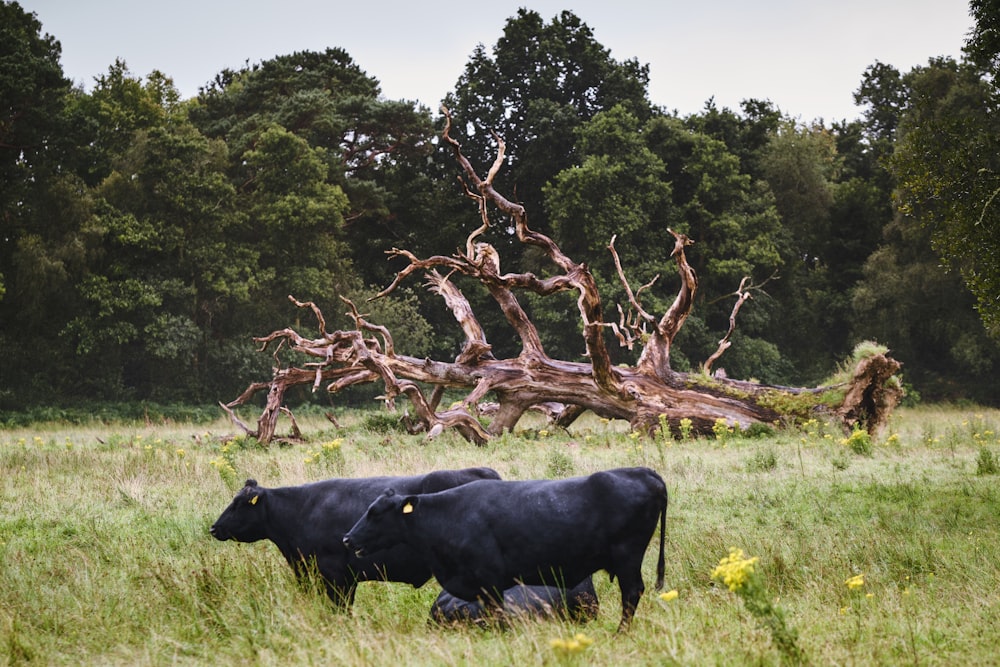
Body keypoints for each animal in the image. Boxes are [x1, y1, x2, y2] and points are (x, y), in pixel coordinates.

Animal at [342, 468, 664, 628]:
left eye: (376, 513)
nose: (347, 539)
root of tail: (642, 472)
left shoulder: (491, 581)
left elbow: (497, 616)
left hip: (627, 557)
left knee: (631, 594)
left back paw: (620, 633)